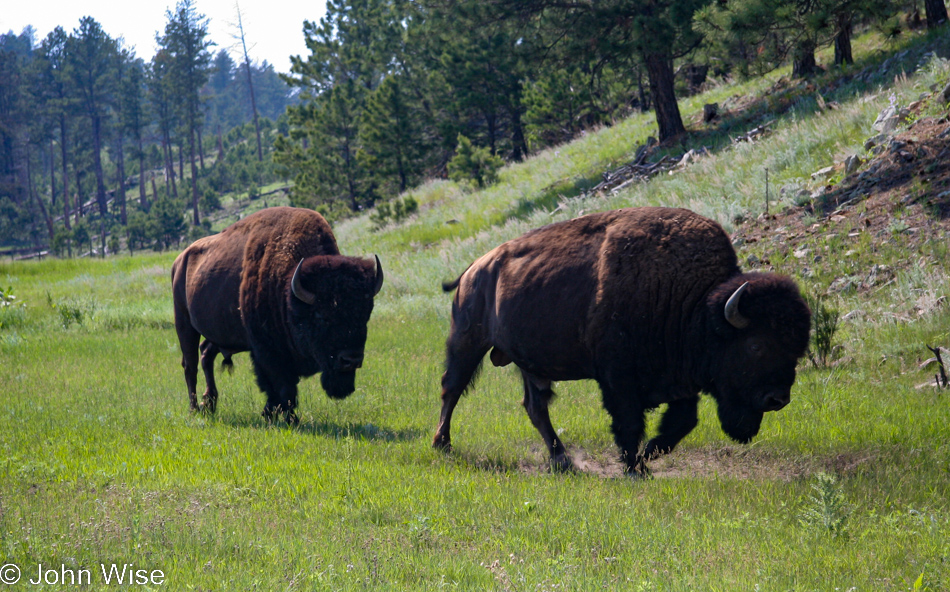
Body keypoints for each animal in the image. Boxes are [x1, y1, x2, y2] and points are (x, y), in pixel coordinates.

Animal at [171, 207, 384, 420]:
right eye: (322, 316)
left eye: (365, 314)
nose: (351, 360)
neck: (288, 291)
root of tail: (179, 260)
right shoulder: (267, 351)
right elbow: (282, 387)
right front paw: (285, 418)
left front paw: (275, 414)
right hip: (184, 324)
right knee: (190, 366)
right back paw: (194, 409)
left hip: (219, 334)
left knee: (206, 353)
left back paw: (209, 403)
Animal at [436, 206, 816, 474]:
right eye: (756, 345)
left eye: (797, 349)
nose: (778, 399)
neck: (694, 304)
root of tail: (474, 268)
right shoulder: (617, 377)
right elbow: (630, 420)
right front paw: (636, 467)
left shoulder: (680, 379)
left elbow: (684, 421)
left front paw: (650, 454)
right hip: (467, 341)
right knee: (451, 389)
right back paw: (442, 445)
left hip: (528, 364)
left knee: (535, 407)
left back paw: (563, 462)